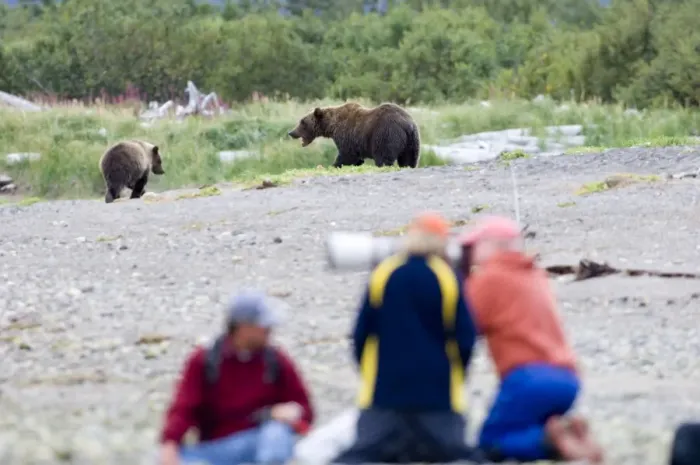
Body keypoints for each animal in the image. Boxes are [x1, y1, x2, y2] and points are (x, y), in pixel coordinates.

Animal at [287, 102, 421, 169]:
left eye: (302, 122)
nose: (291, 132)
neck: (332, 126)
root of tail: (407, 124)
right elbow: (355, 158)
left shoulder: (347, 135)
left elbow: (347, 155)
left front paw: (334, 165)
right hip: (412, 142)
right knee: (409, 159)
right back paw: (407, 166)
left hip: (386, 134)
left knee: (383, 156)